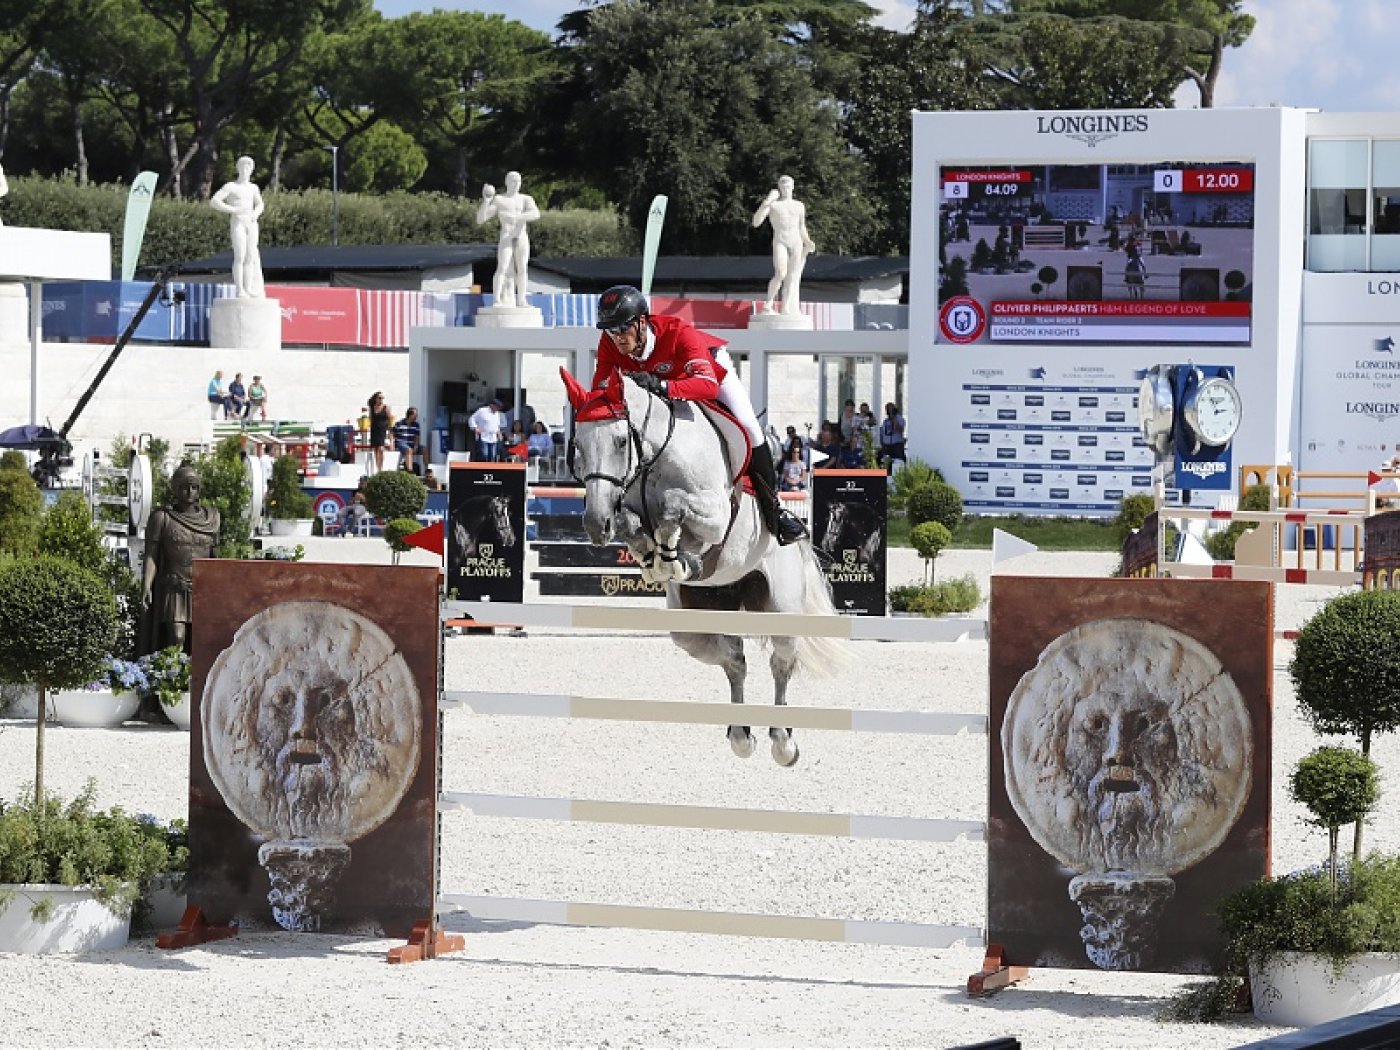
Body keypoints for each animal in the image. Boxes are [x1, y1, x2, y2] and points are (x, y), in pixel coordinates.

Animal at [562, 366, 845, 767]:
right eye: (579, 447)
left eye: (619, 442)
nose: (594, 523)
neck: (655, 457)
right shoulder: (626, 508)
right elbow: (633, 523)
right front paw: (658, 559)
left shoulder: (714, 513)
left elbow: (674, 506)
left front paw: (674, 553)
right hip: (699, 618)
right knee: (734, 659)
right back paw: (741, 735)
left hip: (781, 607)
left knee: (781, 661)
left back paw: (783, 742)